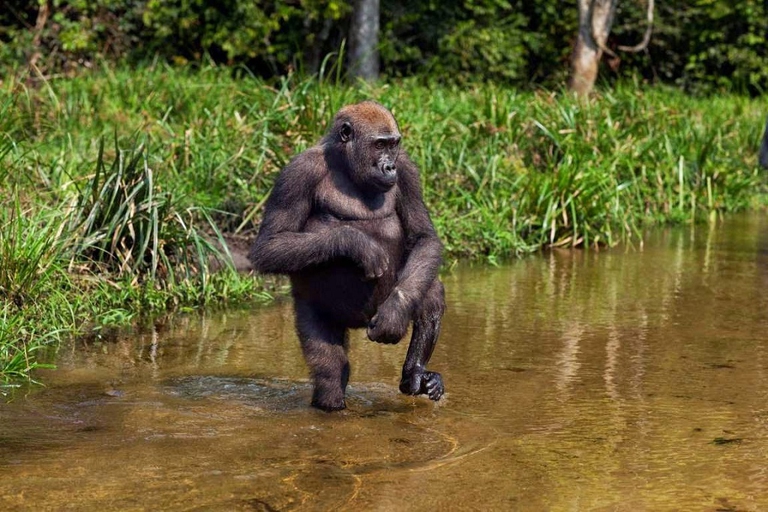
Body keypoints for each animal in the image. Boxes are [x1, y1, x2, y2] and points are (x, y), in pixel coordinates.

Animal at [249, 101, 445, 411]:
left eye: (393, 145)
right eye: (379, 145)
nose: (389, 166)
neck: (345, 162)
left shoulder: (407, 169)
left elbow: (423, 238)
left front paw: (395, 312)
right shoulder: (298, 172)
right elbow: (270, 245)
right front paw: (355, 243)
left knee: (428, 287)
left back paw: (414, 372)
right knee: (331, 372)